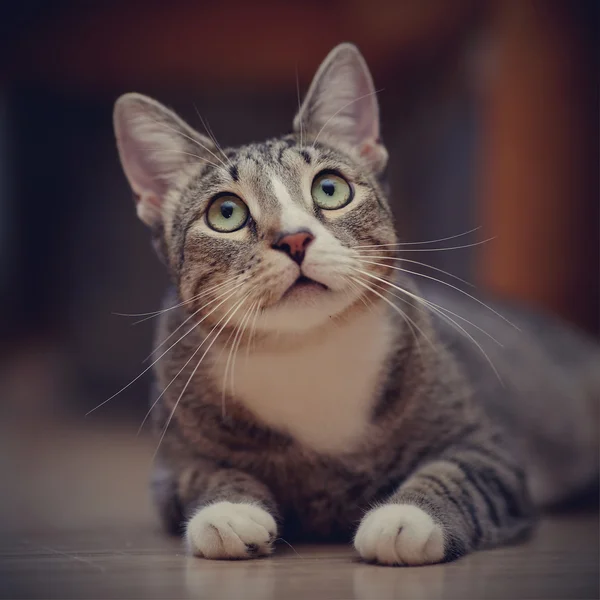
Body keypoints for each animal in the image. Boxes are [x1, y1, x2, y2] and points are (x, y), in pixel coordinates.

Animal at [111, 43, 596, 568]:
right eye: (226, 212)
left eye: (330, 188)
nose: (295, 238)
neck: (307, 350)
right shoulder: (172, 465)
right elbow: (203, 473)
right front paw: (228, 510)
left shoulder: (488, 447)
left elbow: (459, 473)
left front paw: (404, 517)